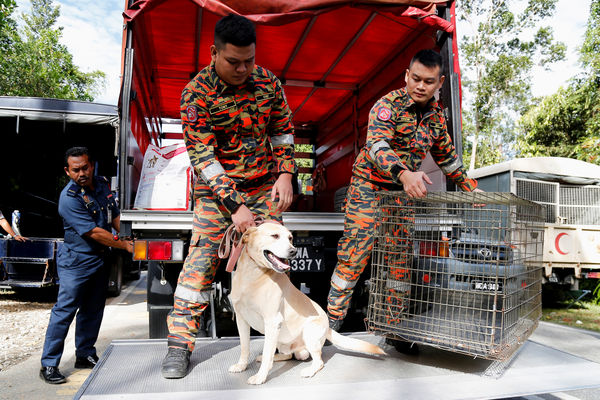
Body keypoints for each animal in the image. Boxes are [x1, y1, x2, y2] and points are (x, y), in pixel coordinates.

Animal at [227, 222, 386, 384]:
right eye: (275, 236)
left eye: (290, 238)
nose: (293, 251)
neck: (252, 274)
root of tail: (328, 327)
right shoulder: (241, 319)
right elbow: (245, 347)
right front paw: (241, 366)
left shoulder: (272, 321)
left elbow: (267, 353)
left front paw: (260, 376)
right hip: (279, 338)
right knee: (287, 355)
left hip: (309, 333)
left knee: (318, 361)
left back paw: (309, 370)